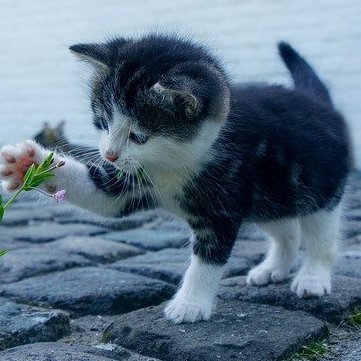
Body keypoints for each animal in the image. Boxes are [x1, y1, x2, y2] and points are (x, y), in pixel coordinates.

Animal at [0, 35, 350, 324]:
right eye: (102, 122)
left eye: (139, 136)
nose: (109, 155)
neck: (173, 163)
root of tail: (320, 104)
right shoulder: (132, 182)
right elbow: (103, 197)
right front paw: (27, 164)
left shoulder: (223, 201)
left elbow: (208, 257)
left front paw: (190, 304)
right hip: (270, 195)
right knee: (286, 228)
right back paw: (274, 267)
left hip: (319, 187)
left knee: (320, 235)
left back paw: (313, 277)